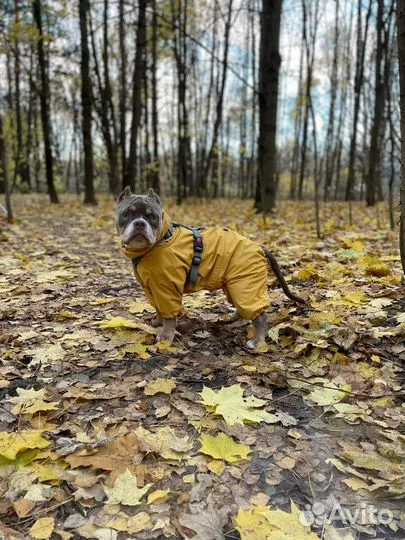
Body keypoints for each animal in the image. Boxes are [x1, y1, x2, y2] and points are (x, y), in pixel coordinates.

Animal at [114, 189, 304, 350]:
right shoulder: (152, 289)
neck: (160, 241)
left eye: (152, 217)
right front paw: (156, 322)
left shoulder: (167, 289)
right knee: (242, 308)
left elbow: (169, 316)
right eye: (126, 214)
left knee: (260, 316)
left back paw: (256, 341)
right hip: (234, 286)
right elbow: (159, 309)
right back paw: (232, 320)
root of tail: (258, 246)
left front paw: (166, 336)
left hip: (245, 285)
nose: (139, 223)